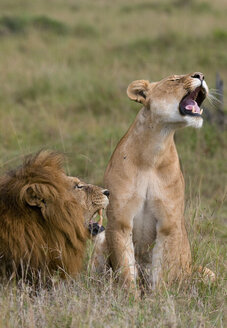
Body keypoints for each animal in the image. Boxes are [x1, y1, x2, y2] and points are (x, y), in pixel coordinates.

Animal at [103, 72, 215, 290]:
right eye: (174, 79)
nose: (201, 75)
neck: (153, 151)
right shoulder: (119, 222)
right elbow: (126, 271)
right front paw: (131, 298)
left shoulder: (168, 224)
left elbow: (162, 274)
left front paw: (158, 298)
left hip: (206, 273)